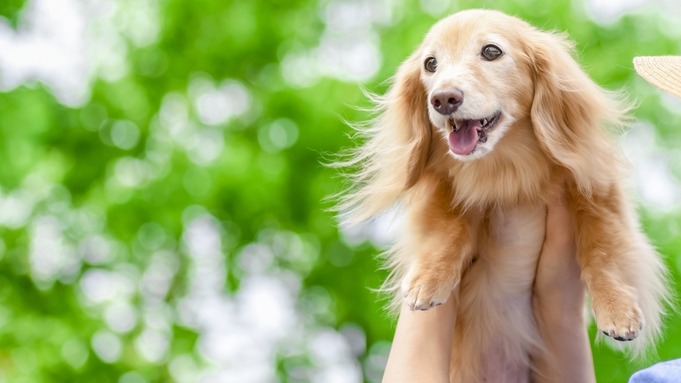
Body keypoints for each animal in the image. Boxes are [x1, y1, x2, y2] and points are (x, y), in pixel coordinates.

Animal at [338, 9, 668, 383]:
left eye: (491, 51)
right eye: (430, 64)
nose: (443, 98)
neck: (503, 170)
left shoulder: (598, 191)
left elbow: (602, 249)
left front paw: (618, 310)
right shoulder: (439, 187)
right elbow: (447, 226)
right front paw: (428, 280)